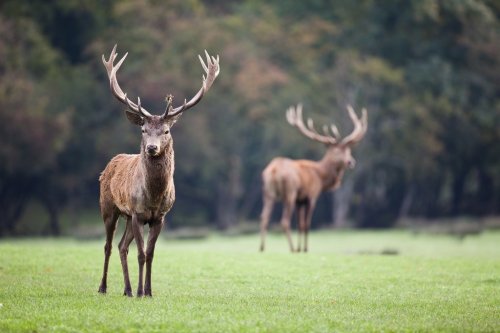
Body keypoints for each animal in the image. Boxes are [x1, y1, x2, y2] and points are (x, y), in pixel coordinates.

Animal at [98, 44, 220, 296]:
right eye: (143, 129)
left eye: (166, 130)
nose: (152, 148)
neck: (153, 197)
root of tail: (110, 164)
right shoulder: (137, 213)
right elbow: (141, 254)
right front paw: (141, 292)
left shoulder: (160, 217)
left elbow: (151, 254)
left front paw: (148, 291)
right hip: (109, 208)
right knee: (108, 246)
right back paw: (103, 287)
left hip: (126, 216)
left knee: (121, 246)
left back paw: (127, 289)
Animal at [260, 104, 366, 252]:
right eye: (337, 151)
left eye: (348, 150)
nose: (351, 162)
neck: (321, 177)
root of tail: (274, 170)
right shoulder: (311, 196)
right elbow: (306, 224)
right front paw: (304, 249)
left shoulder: (299, 201)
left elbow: (299, 224)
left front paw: (300, 249)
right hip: (290, 192)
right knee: (284, 221)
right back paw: (292, 249)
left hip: (268, 192)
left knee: (264, 217)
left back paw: (262, 248)